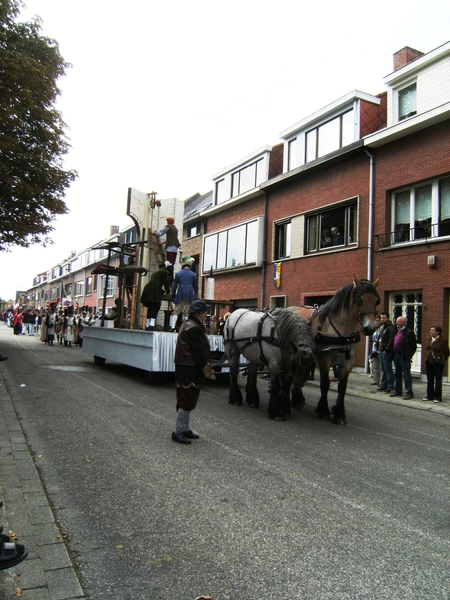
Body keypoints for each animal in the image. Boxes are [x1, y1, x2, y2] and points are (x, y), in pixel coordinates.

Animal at [292, 274, 380, 424]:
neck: (342, 332)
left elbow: (342, 387)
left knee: (299, 374)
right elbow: (325, 384)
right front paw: (323, 410)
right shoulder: (324, 360)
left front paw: (339, 414)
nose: (371, 328)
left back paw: (297, 398)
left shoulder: (348, 363)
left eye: (376, 301)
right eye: (360, 299)